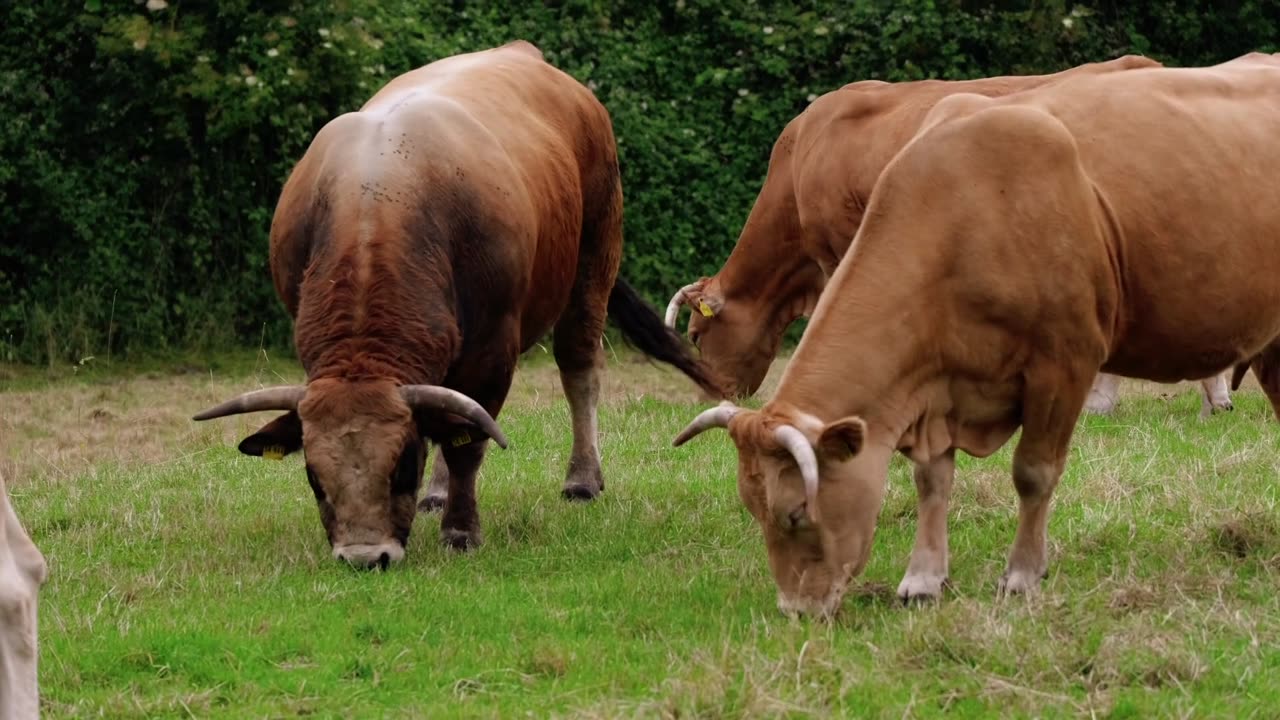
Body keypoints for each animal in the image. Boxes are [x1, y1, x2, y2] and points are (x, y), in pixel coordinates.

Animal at [192, 41, 725, 569]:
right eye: (313, 477)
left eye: (403, 467)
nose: (365, 557)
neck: (376, 205)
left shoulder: (493, 351)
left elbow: (468, 440)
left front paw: (461, 530)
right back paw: (439, 494)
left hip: (595, 257)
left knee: (578, 368)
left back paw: (582, 478)